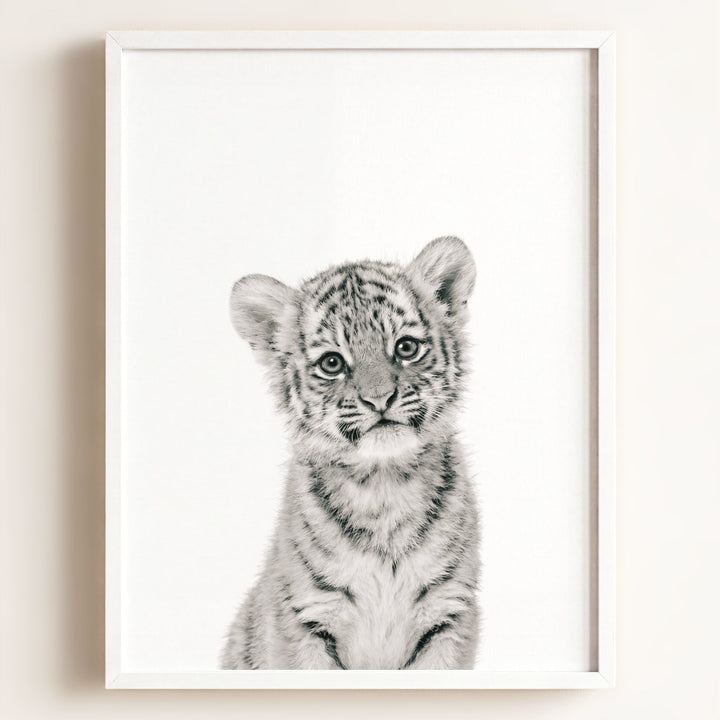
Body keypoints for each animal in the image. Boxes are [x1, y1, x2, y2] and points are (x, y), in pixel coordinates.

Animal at [221, 236, 480, 670]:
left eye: (406, 347)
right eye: (332, 363)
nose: (380, 399)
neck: (384, 487)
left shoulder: (448, 614)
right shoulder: (305, 619)